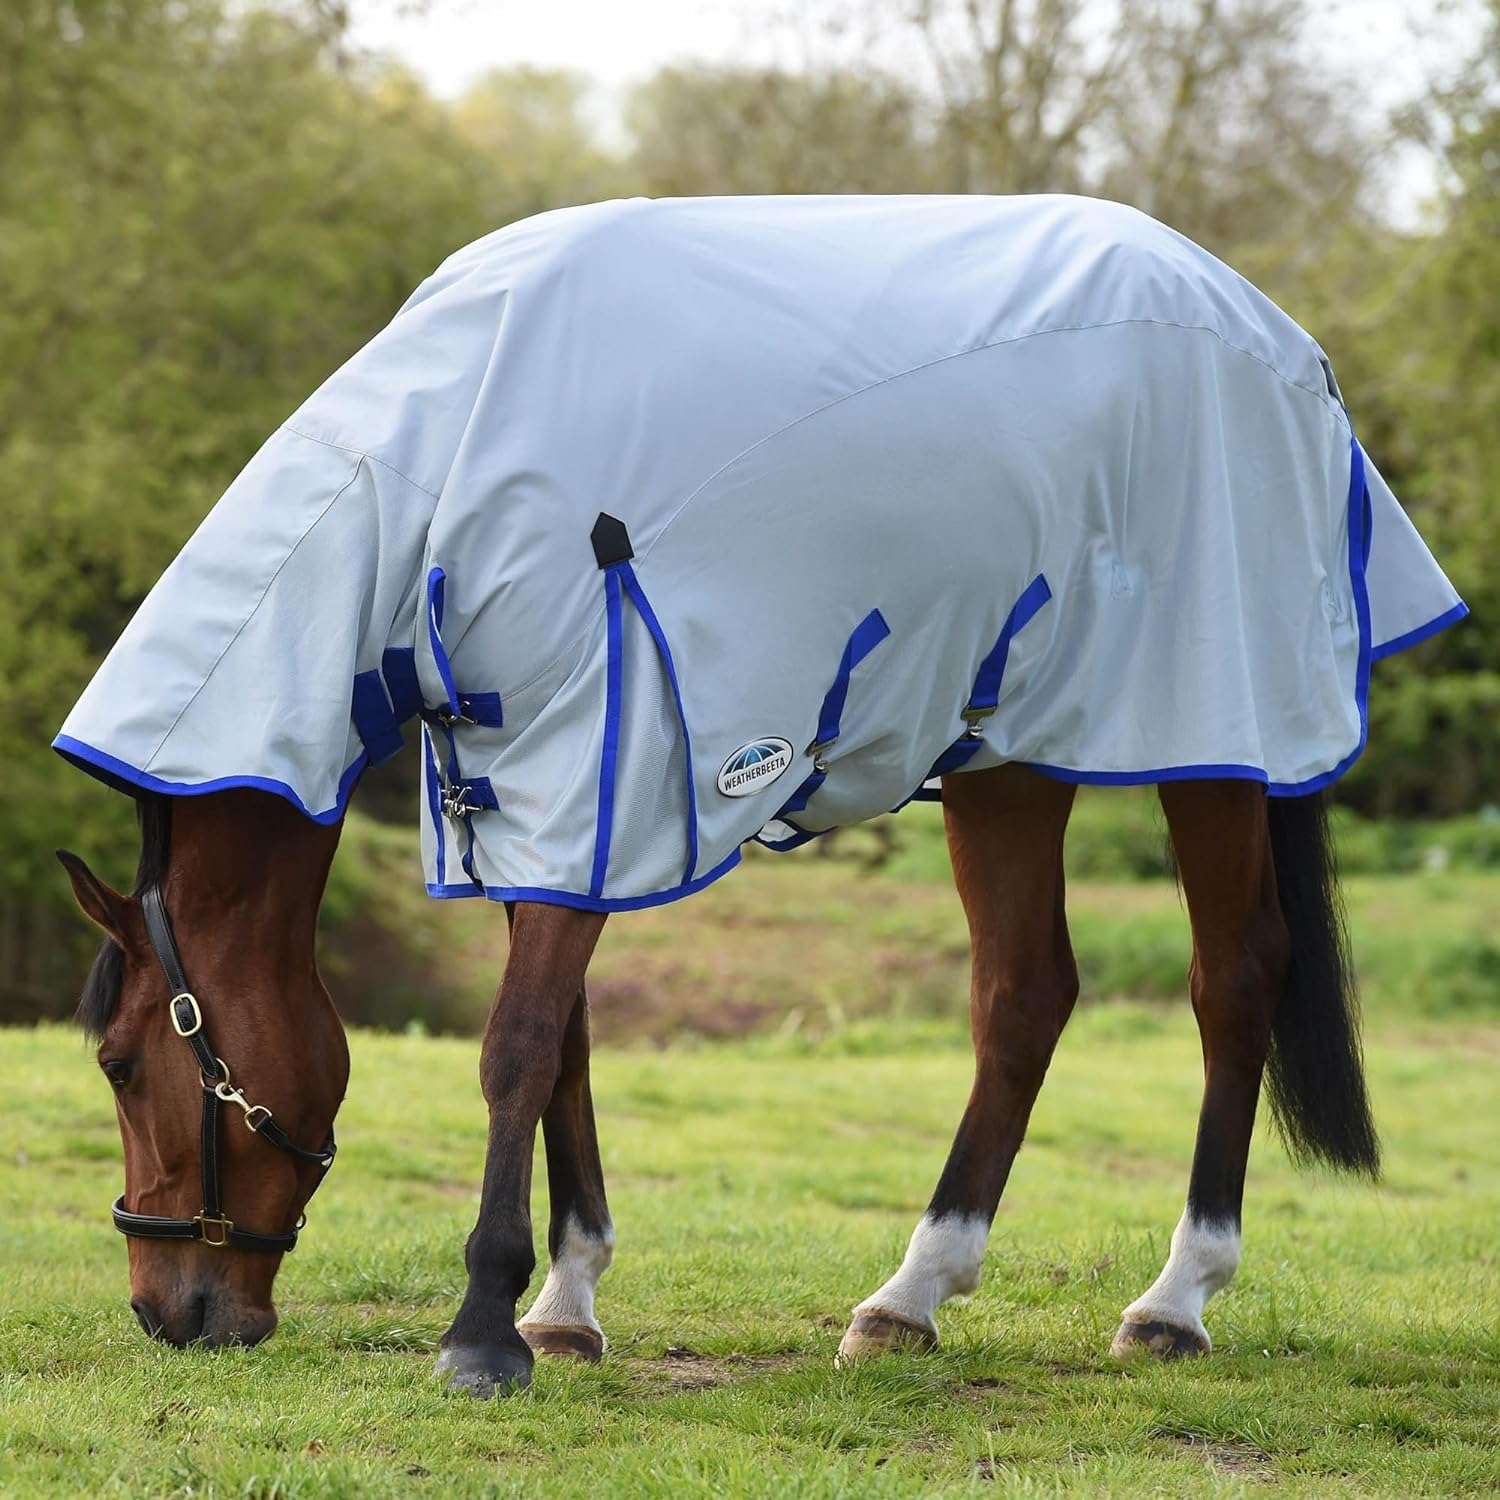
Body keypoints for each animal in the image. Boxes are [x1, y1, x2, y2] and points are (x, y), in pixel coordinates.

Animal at [54, 194, 1463, 1396]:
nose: (165, 1311)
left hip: (1214, 733)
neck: (444, 458)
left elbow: (515, 1048)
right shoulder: (542, 801)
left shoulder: (602, 758)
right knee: (1023, 996)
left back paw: (1175, 1300)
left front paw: (482, 1332)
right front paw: (564, 1306)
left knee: (1234, 981)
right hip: (1007, 753)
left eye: (121, 1063)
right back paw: (911, 1295)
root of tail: (1278, 337)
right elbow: (562, 1047)